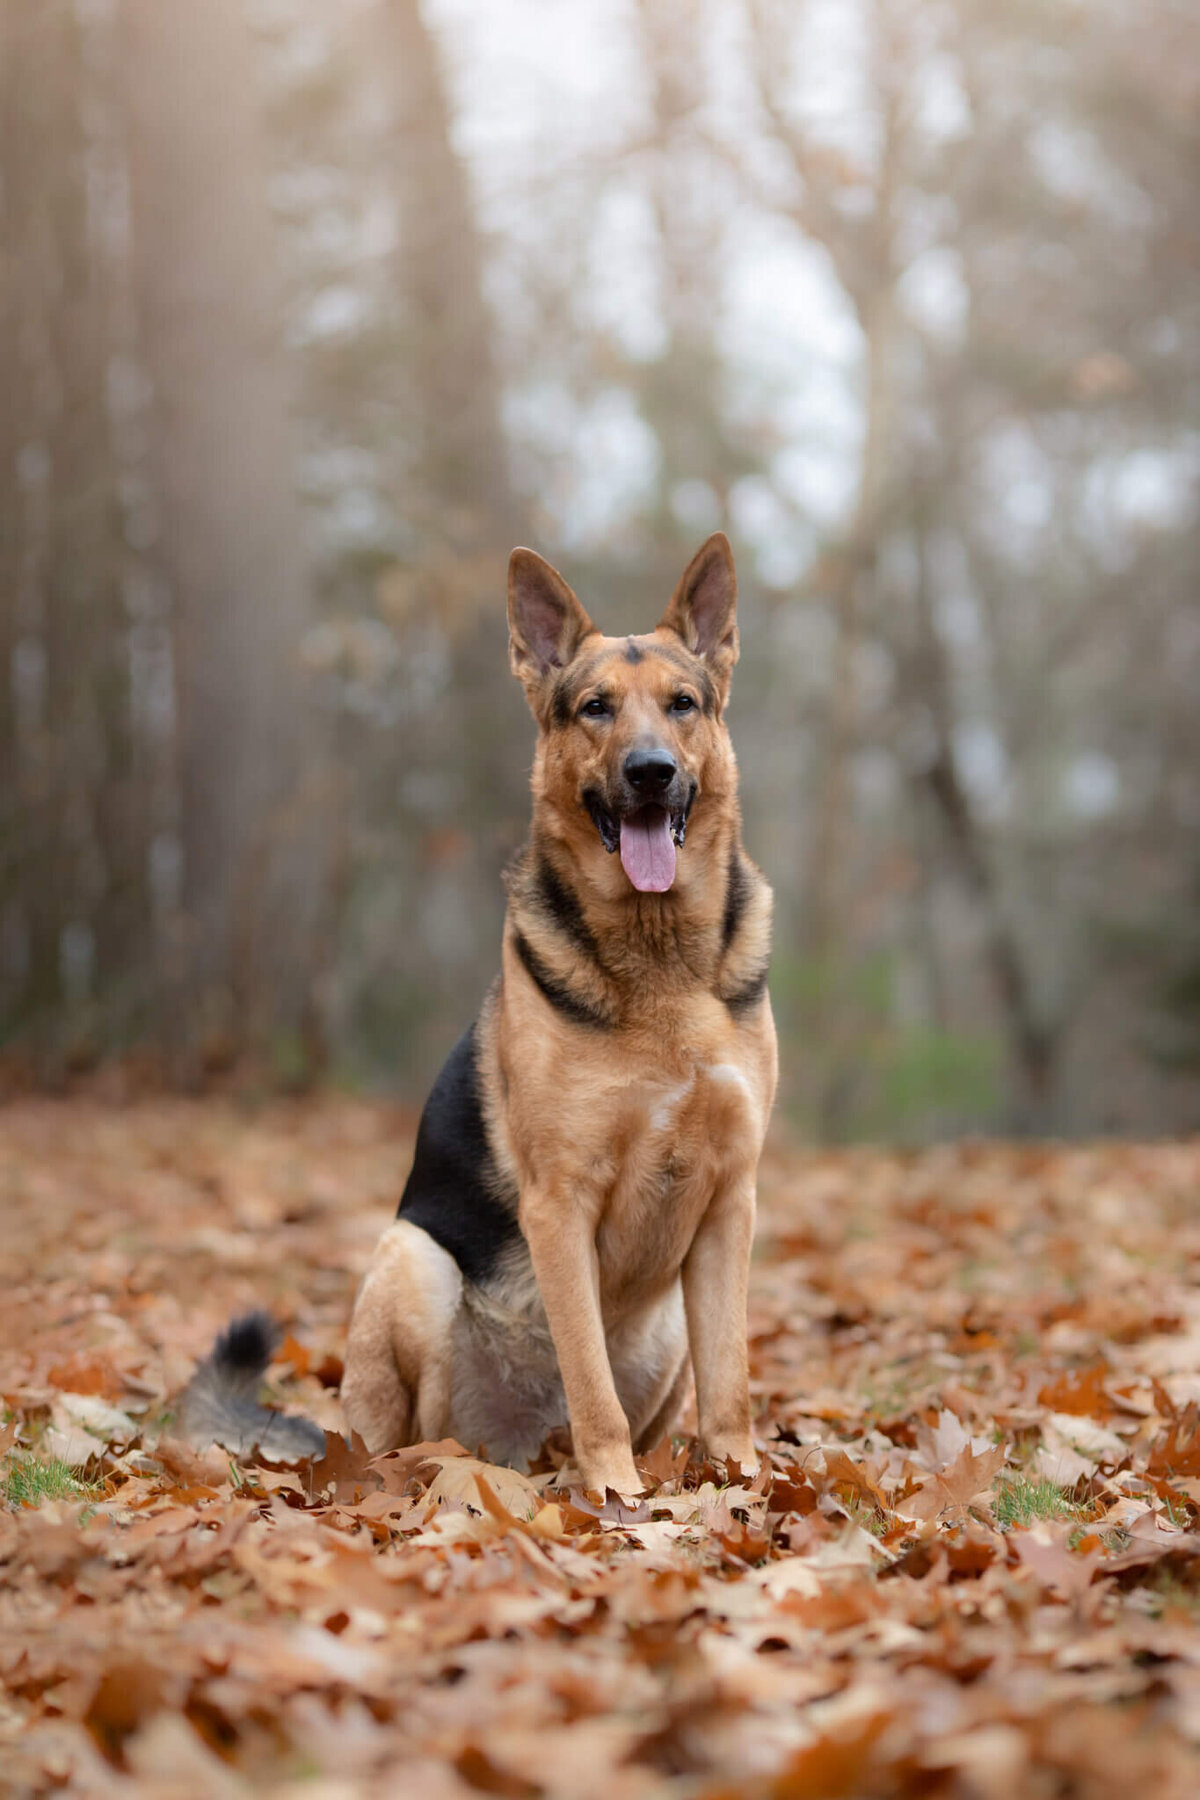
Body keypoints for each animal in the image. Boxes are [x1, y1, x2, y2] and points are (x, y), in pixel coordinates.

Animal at [332, 532, 780, 1504]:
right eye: (594, 708)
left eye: (683, 705)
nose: (650, 773)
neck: (658, 957)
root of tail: (518, 1448)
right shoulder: (560, 1201)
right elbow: (590, 1382)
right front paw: (618, 1496)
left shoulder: (731, 1202)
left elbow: (732, 1382)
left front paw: (738, 1484)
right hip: (413, 1260)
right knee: (415, 1436)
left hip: (669, 1331)